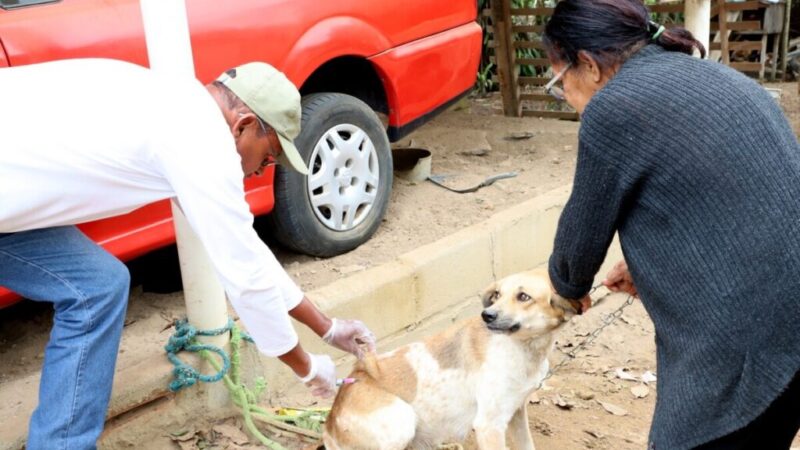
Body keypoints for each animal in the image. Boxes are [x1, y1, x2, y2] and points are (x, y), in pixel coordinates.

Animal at [320, 268, 580, 448]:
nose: (487, 315)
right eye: (497, 295)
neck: (524, 347)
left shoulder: (516, 410)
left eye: (524, 296)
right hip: (401, 420)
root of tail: (329, 422)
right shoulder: (489, 425)